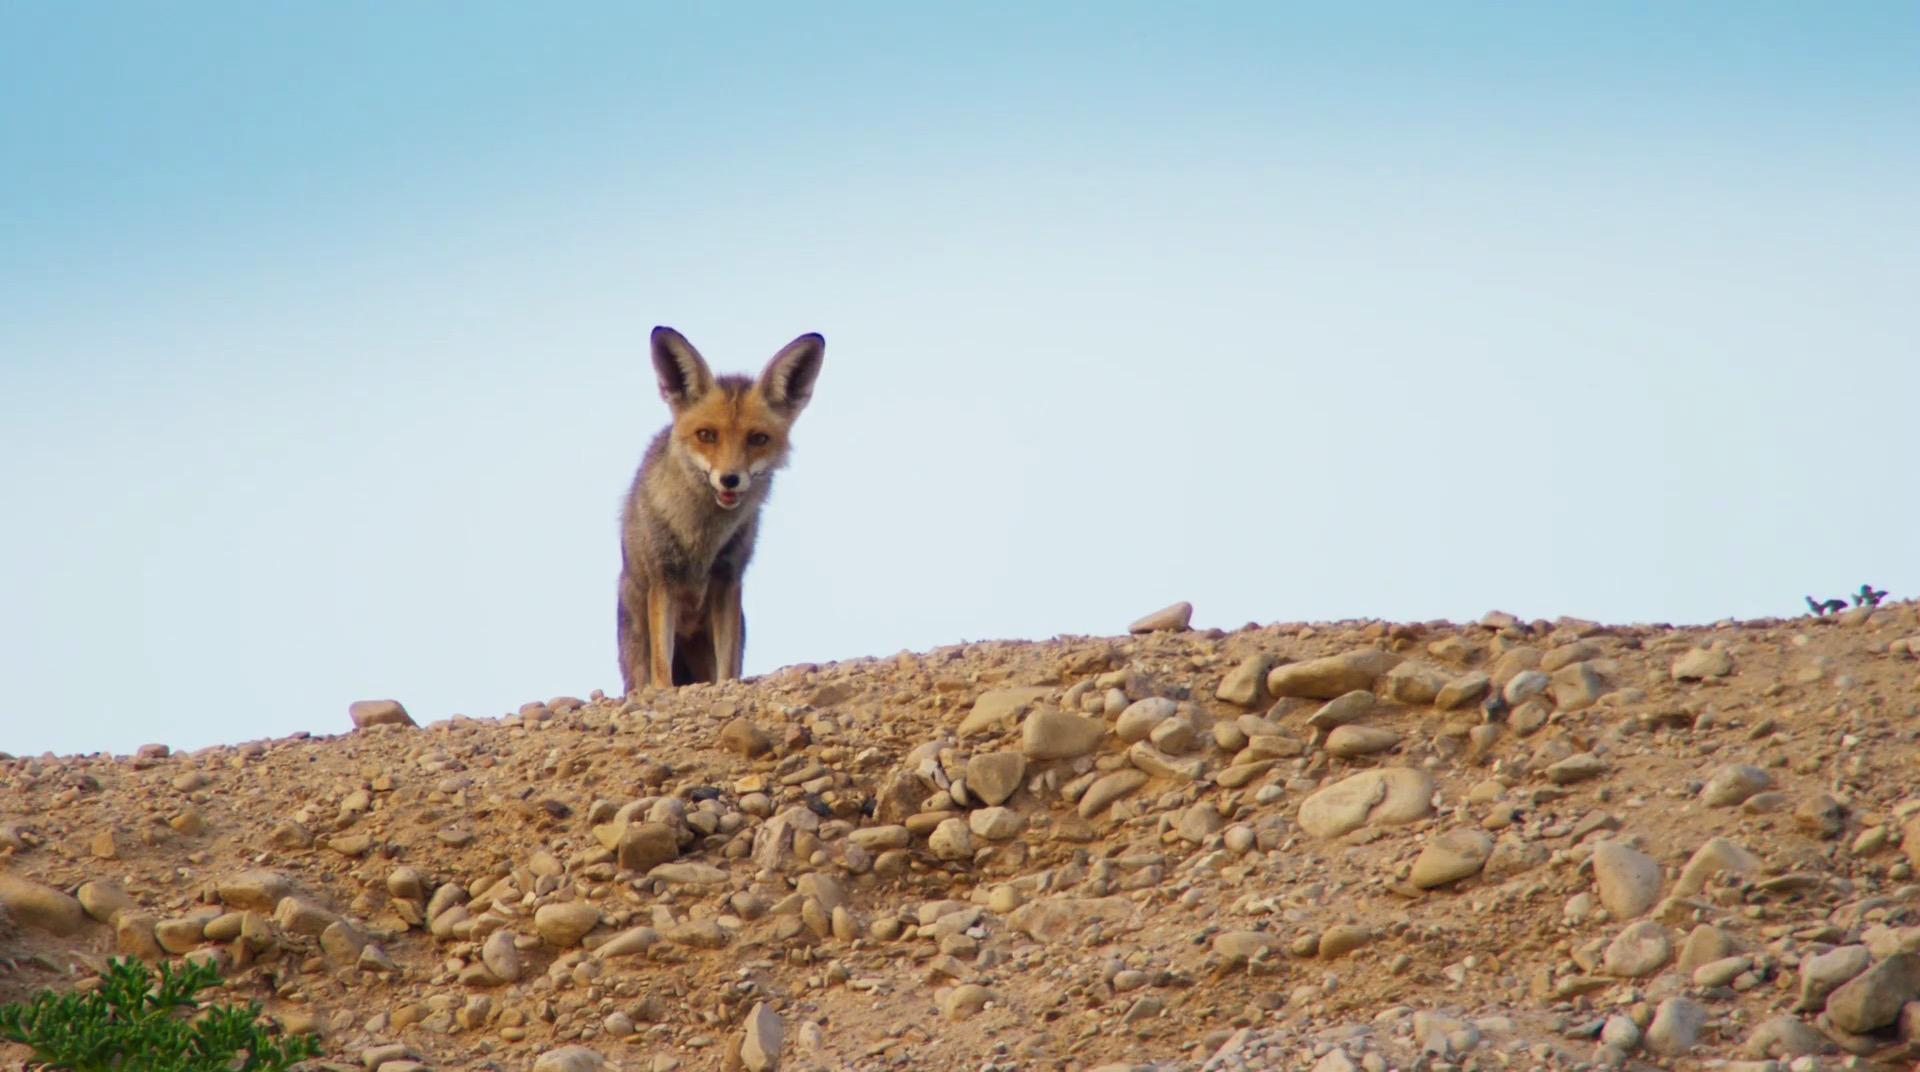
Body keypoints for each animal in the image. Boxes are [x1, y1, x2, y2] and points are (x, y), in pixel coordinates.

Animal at [618, 328, 821, 699]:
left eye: (758, 438)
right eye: (706, 435)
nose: (730, 479)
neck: (701, 538)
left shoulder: (728, 578)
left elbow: (727, 668)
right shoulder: (663, 579)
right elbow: (662, 670)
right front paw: (665, 692)